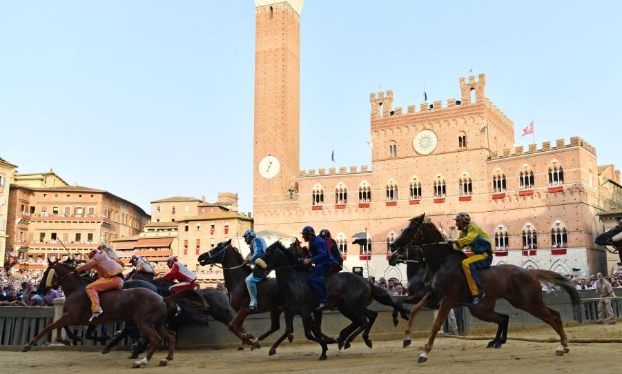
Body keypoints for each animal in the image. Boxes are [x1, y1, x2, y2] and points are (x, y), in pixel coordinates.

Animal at [23, 260, 207, 368]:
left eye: (45, 273)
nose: (38, 290)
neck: (77, 288)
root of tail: (162, 296)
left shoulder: (73, 316)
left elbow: (51, 326)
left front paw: (29, 344)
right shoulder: (79, 318)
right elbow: (60, 328)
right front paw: (67, 339)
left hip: (143, 321)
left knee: (154, 338)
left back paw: (141, 360)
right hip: (157, 323)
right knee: (169, 335)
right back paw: (165, 358)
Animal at [390, 215, 584, 364]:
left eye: (409, 229)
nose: (392, 246)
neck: (441, 264)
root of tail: (530, 271)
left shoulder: (447, 300)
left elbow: (436, 325)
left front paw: (424, 352)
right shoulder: (432, 296)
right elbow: (414, 309)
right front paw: (406, 338)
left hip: (529, 302)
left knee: (553, 315)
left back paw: (563, 345)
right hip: (499, 306)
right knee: (508, 317)